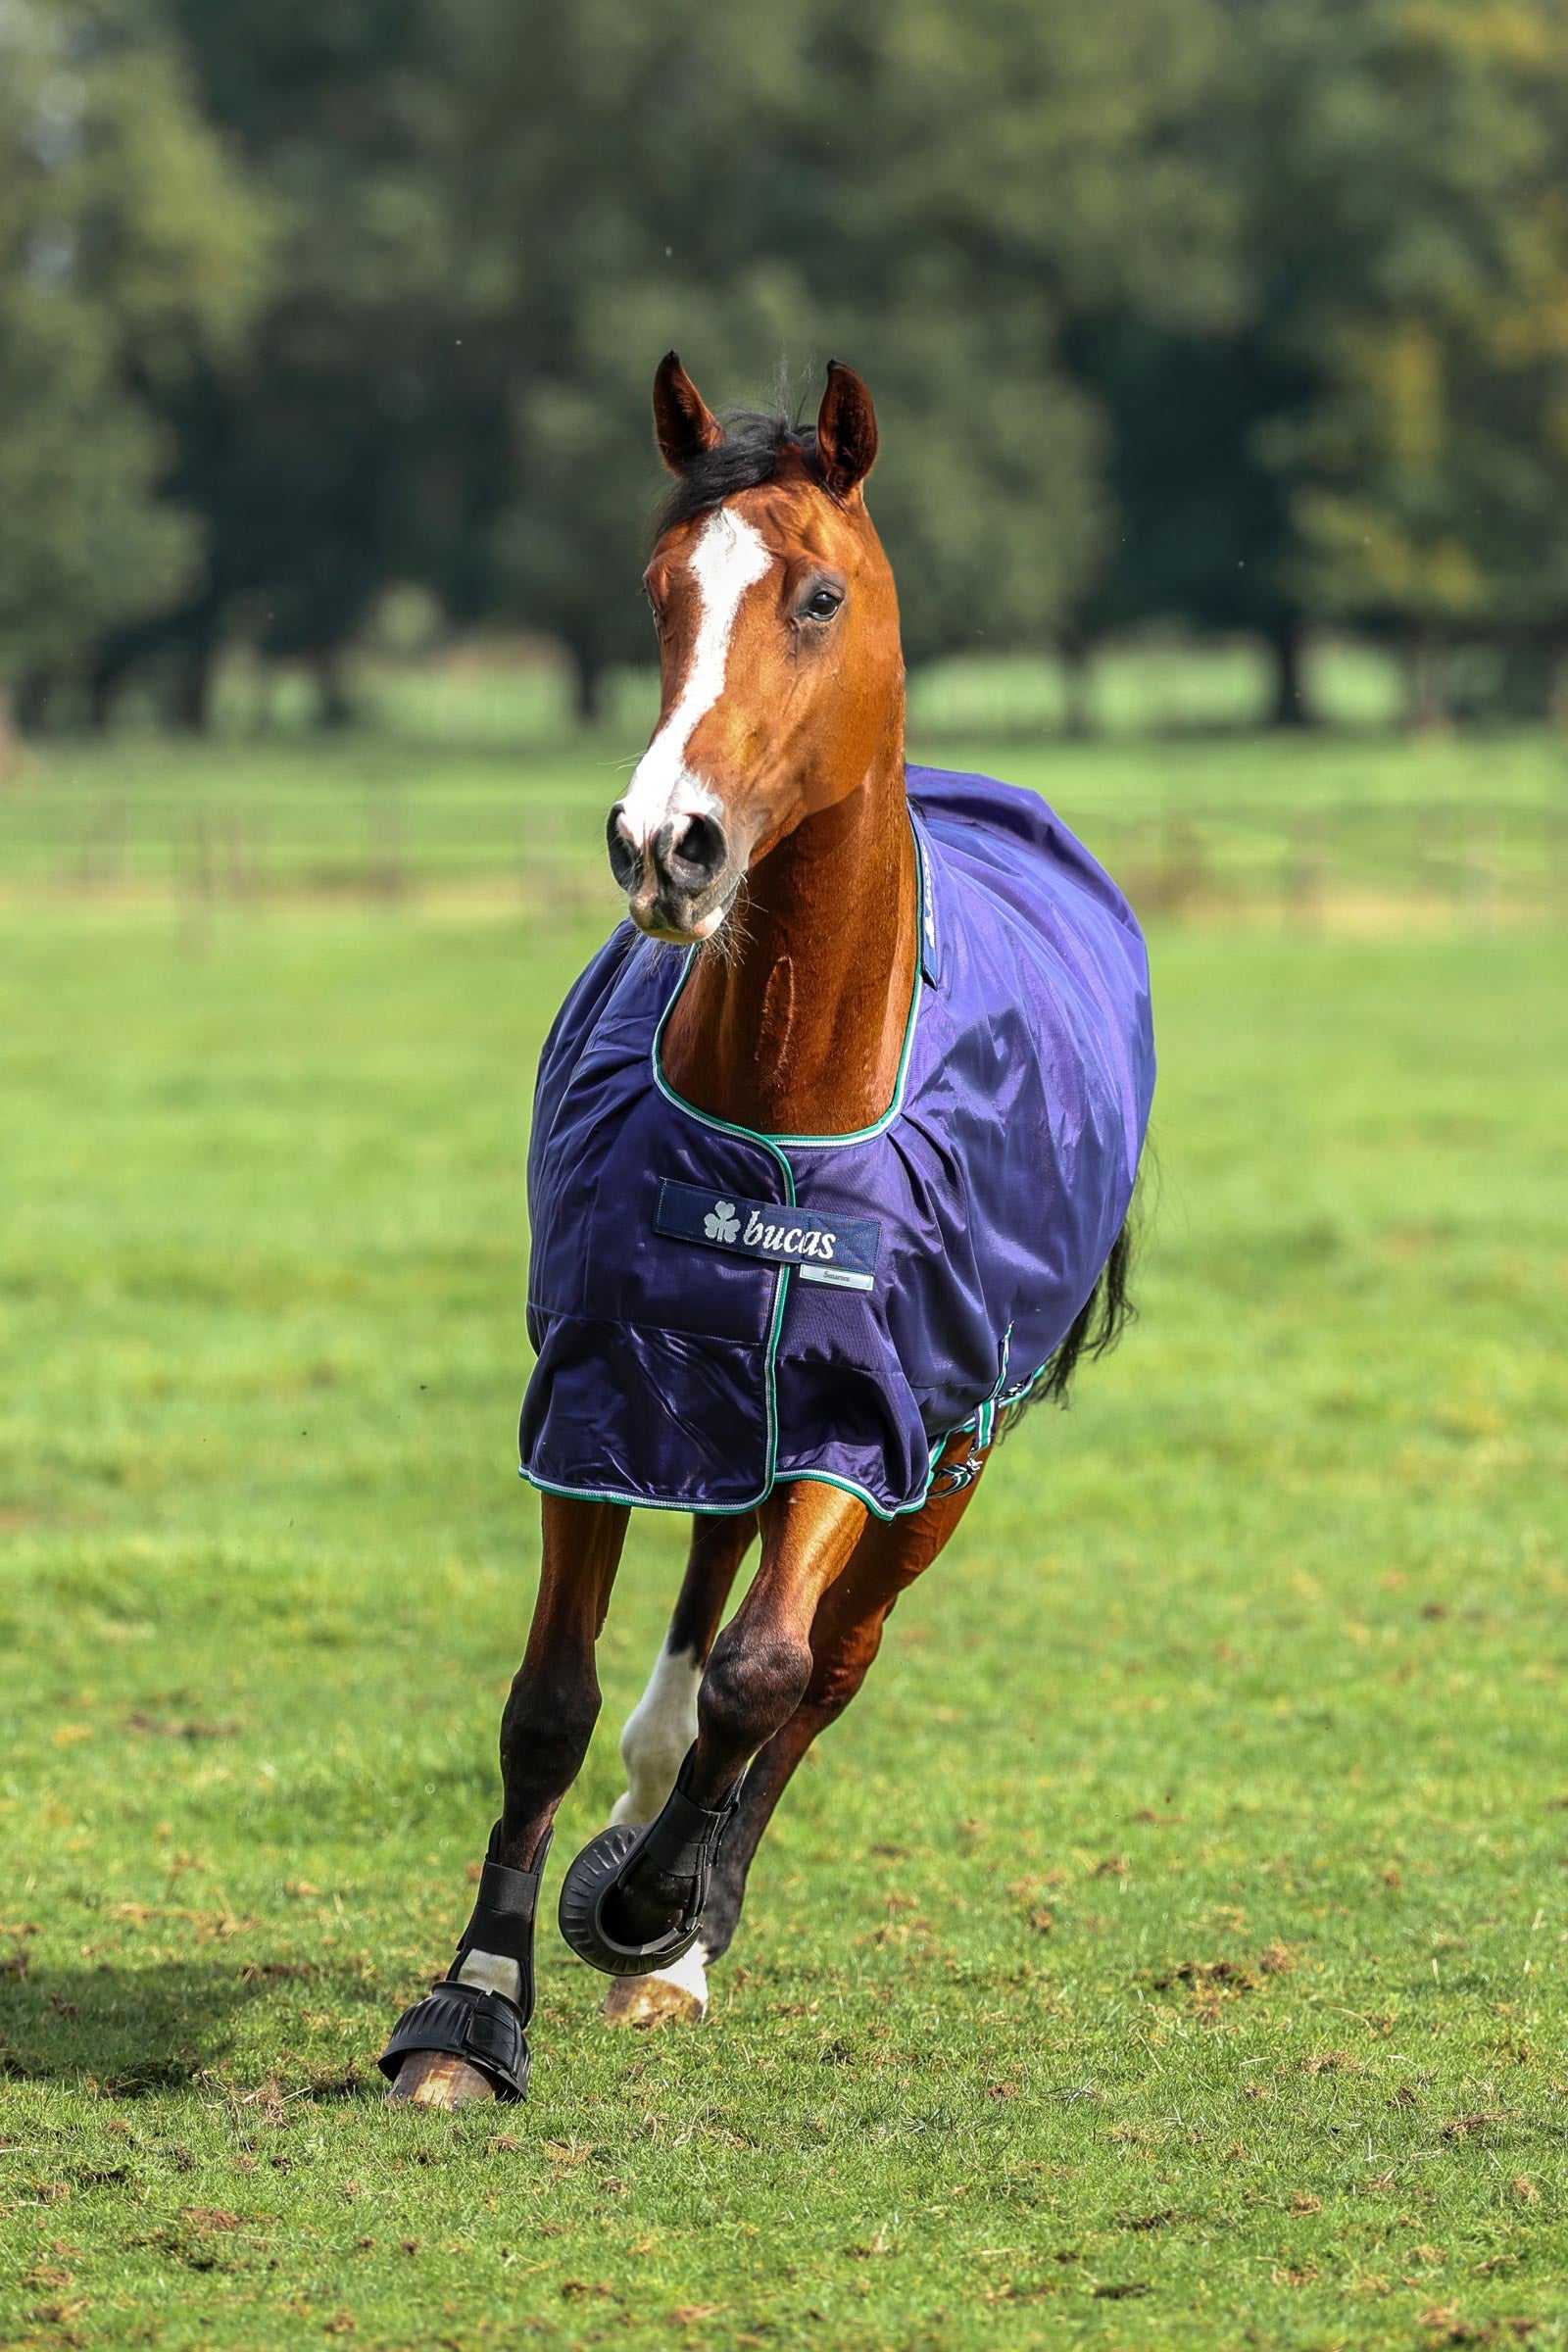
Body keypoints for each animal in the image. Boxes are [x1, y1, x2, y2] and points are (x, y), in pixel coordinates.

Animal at [379, 354, 1154, 2107]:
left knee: (825, 1663)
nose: (665, 842)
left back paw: (685, 1921)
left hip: (950, 1458)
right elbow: (551, 1702)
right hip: (718, 1392)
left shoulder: (869, 1423)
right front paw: (475, 2004)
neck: (785, 1102)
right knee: (705, 1592)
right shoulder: (602, 1388)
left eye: (816, 595)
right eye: (661, 590)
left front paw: (653, 1908)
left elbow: (771, 1671)